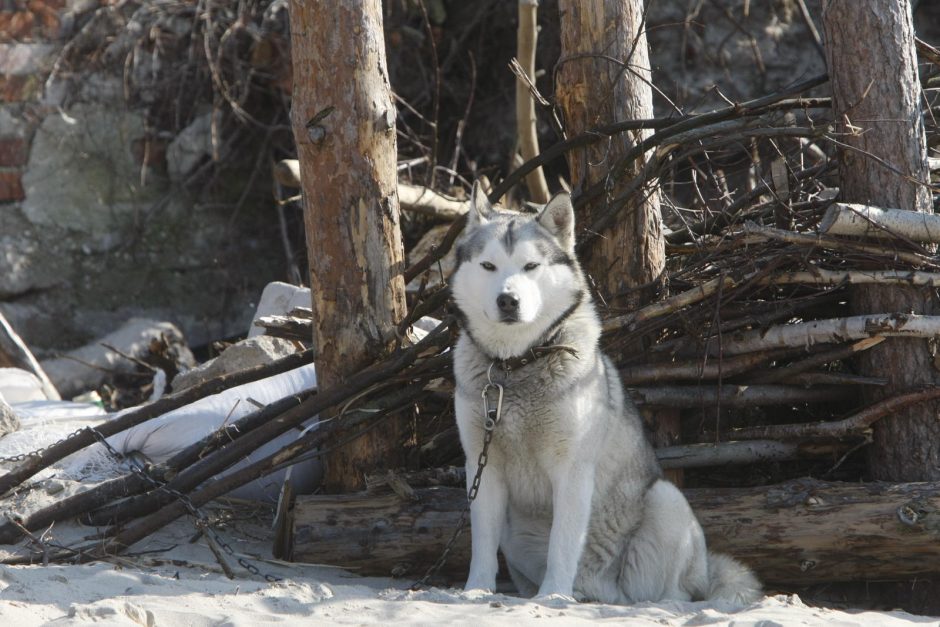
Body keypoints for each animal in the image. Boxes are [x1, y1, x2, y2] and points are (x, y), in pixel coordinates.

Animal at [450, 184, 764, 604]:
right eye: (488, 266)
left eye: (531, 266)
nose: (508, 300)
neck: (514, 367)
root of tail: (604, 591)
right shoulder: (482, 465)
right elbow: (482, 543)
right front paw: (476, 591)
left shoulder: (572, 469)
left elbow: (562, 542)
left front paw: (553, 596)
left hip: (666, 500)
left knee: (672, 592)